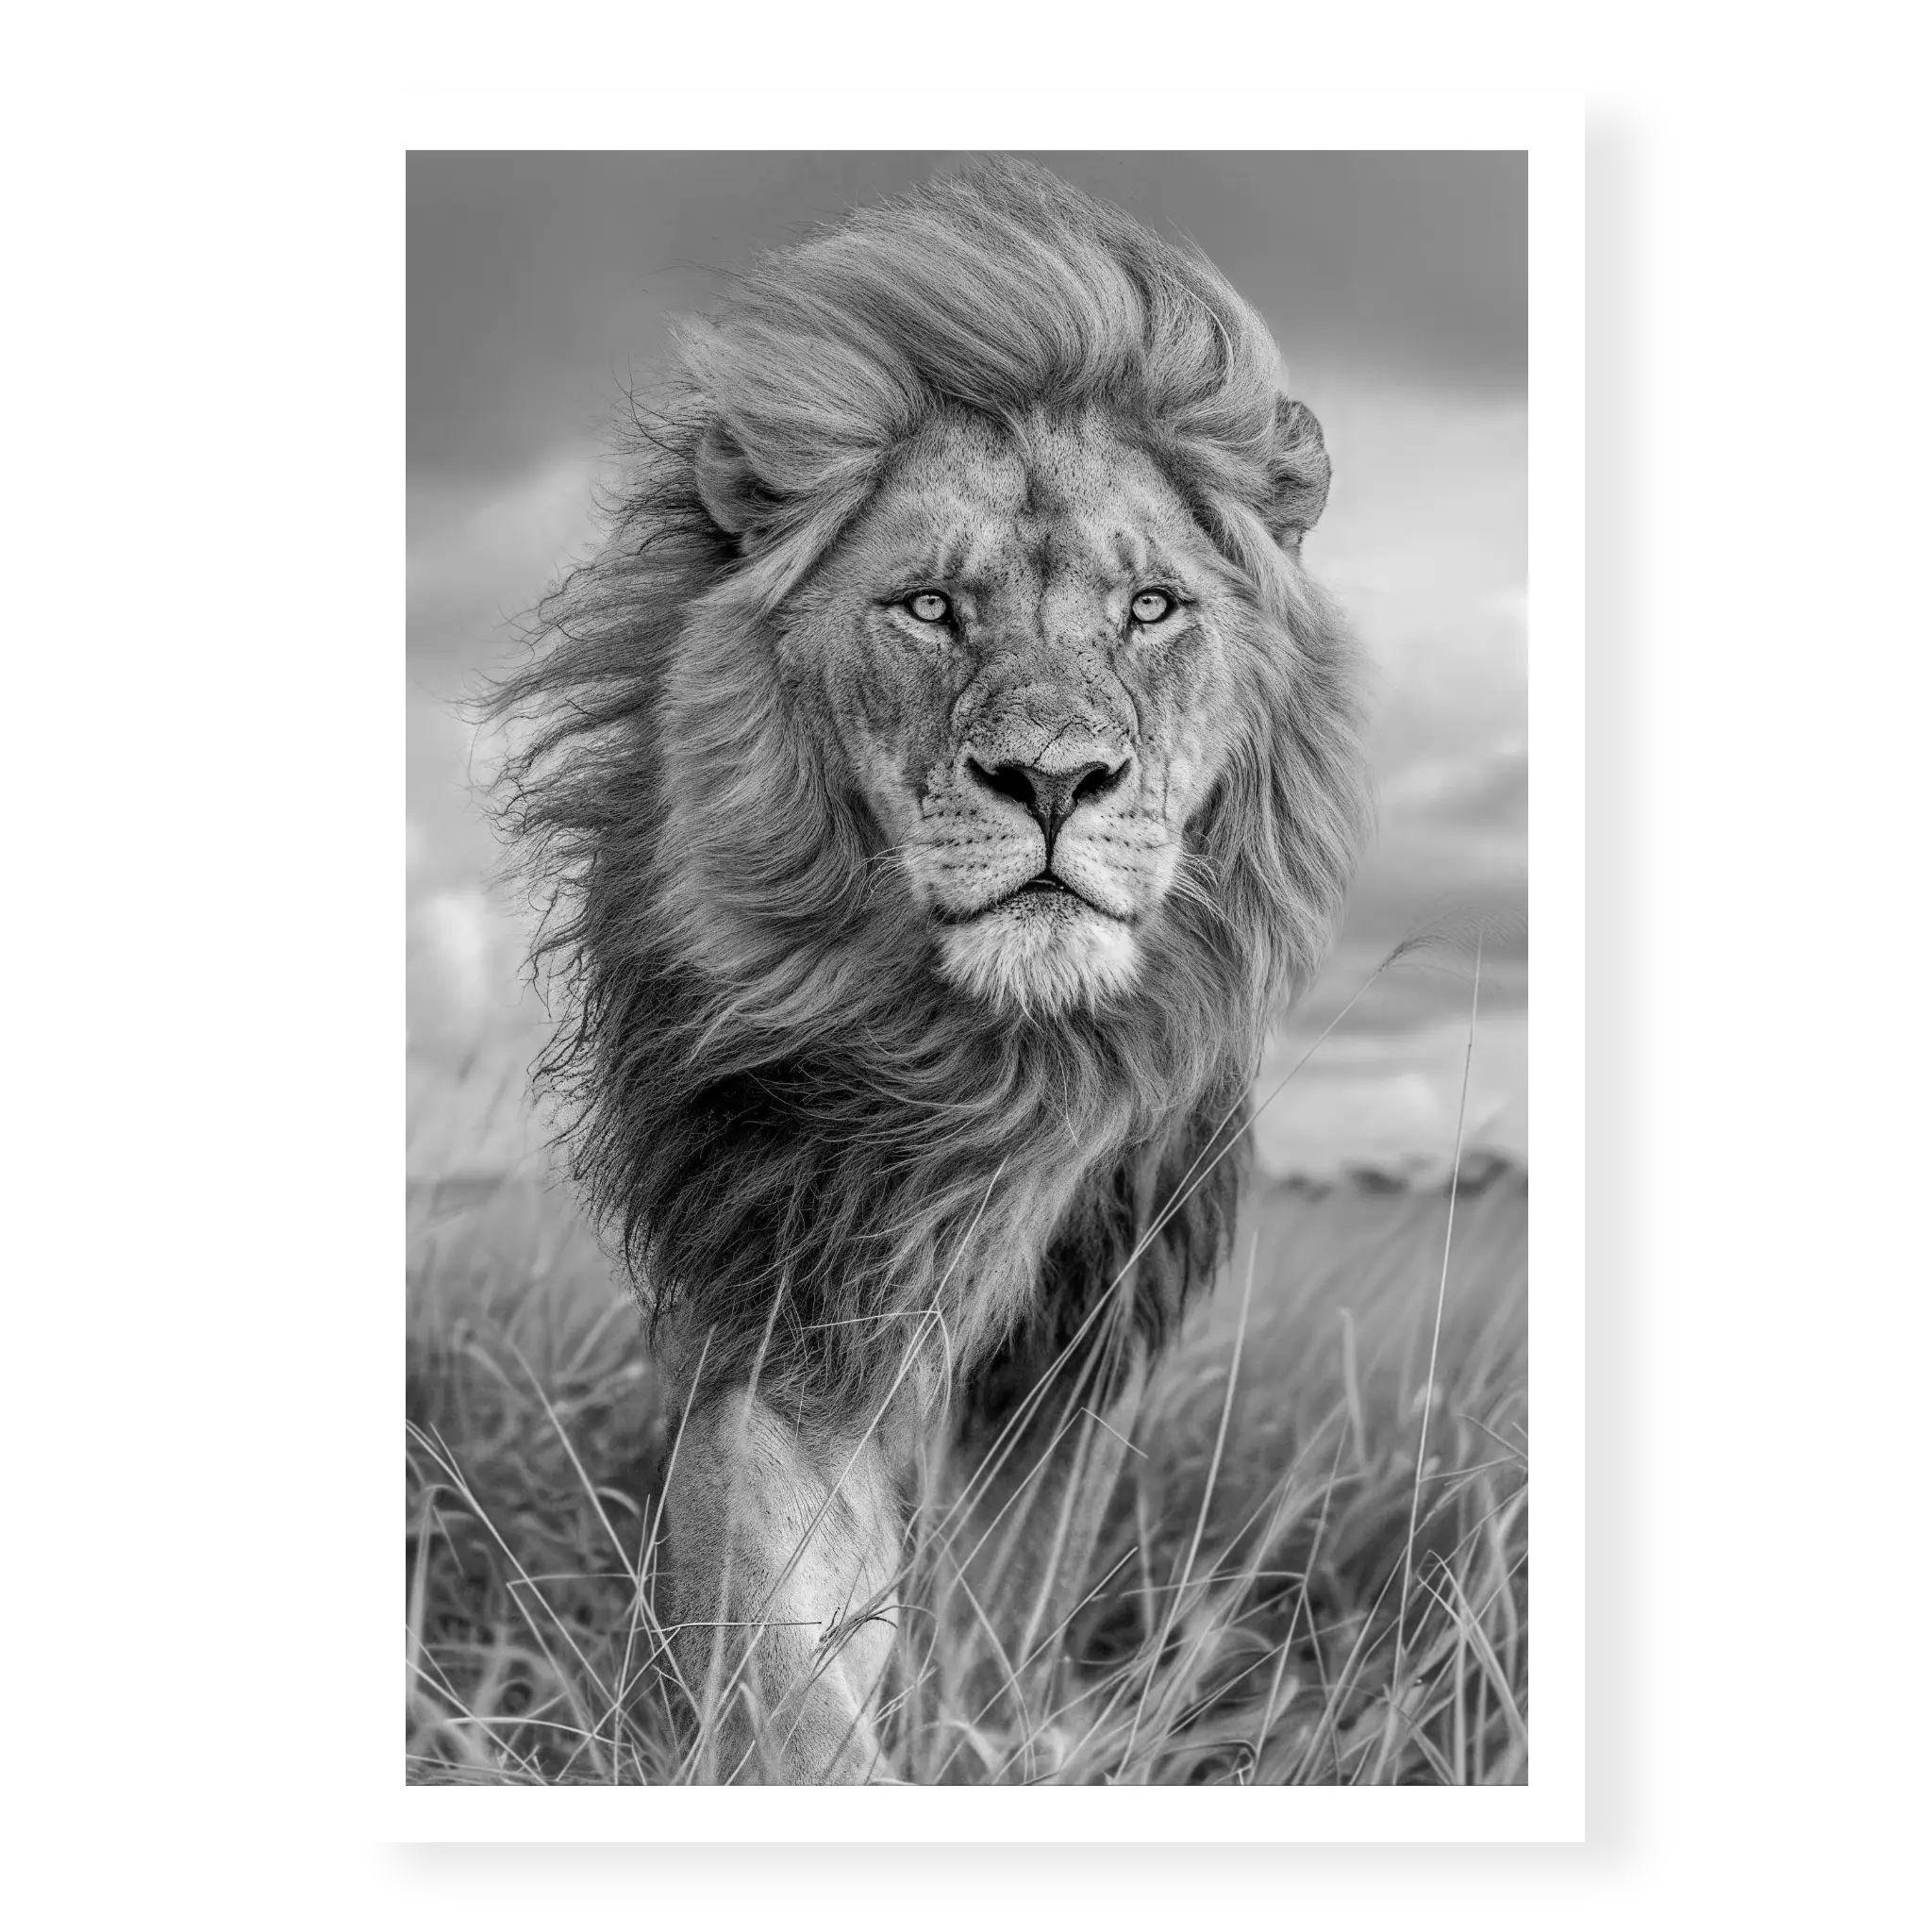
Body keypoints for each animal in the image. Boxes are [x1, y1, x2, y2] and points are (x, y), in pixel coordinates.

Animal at [488, 158, 1370, 1783]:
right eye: (929, 608)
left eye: (1152, 607)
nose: (1054, 778)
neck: (979, 1063)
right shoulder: (792, 1284)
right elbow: (772, 1632)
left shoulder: (1081, 1328)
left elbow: (1002, 1597)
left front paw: (995, 1738)